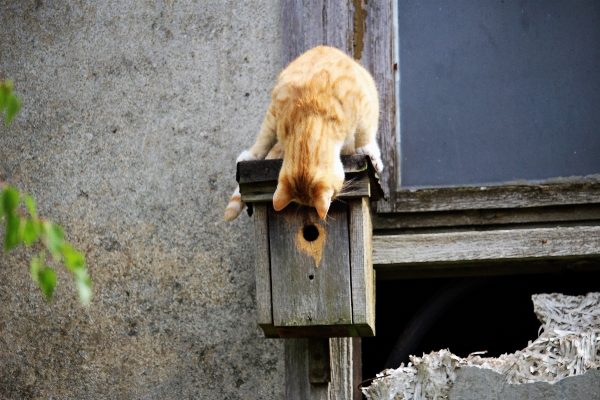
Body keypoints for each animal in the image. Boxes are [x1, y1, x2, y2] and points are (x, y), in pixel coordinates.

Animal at [223, 47, 382, 223]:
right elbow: (264, 137)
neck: (310, 111)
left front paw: (367, 149)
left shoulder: (363, 103)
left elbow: (365, 130)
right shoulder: (273, 113)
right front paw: (252, 155)